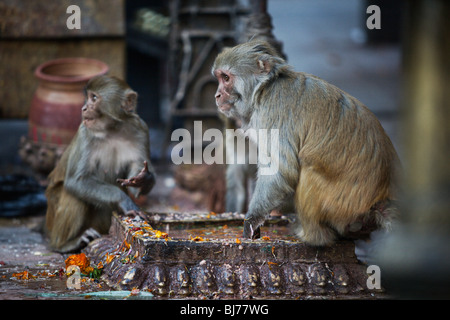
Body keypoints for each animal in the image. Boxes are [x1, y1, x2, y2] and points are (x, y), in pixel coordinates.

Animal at [44, 75, 156, 252]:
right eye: (89, 97)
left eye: (94, 98)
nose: (83, 108)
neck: (112, 129)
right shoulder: (85, 133)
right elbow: (77, 181)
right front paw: (125, 201)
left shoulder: (141, 129)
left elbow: (136, 186)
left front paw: (143, 178)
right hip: (53, 214)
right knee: (73, 194)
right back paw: (65, 244)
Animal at [213, 40, 400, 245]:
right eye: (219, 78)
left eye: (226, 78)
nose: (217, 95)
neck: (263, 89)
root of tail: (379, 200)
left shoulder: (272, 111)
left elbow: (280, 171)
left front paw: (252, 220)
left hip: (343, 204)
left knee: (308, 168)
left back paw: (312, 236)